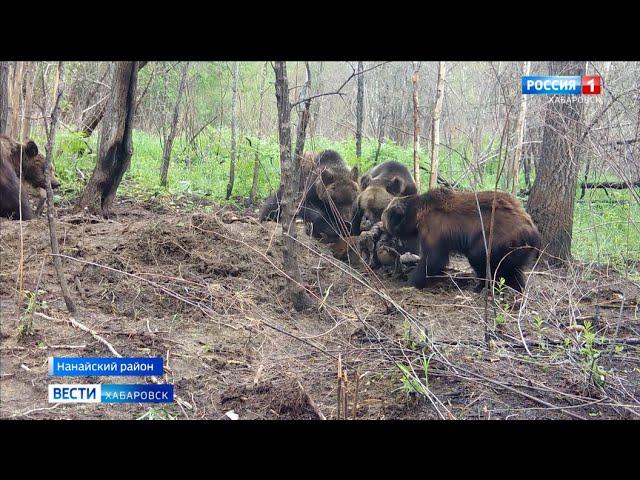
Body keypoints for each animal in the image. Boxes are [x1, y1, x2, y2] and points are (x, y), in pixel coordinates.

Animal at [382, 188, 544, 292]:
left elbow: (433, 258)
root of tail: (534, 231)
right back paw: (516, 287)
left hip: (499, 238)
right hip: (518, 248)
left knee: (479, 257)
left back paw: (482, 286)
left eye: (384, 217)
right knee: (514, 269)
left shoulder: (434, 227)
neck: (417, 214)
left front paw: (412, 280)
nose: (383, 230)